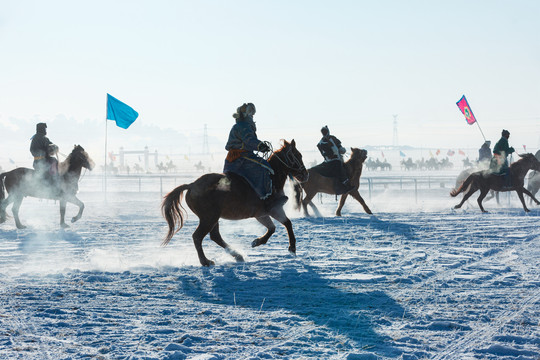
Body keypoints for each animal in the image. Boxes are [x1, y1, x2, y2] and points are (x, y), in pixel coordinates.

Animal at [161, 139, 308, 266]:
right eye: (297, 155)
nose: (305, 175)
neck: (272, 178)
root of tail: (191, 185)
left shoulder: (262, 214)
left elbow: (279, 226)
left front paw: (258, 242)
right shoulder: (273, 209)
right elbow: (282, 225)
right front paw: (291, 248)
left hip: (212, 218)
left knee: (215, 236)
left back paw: (237, 256)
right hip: (209, 218)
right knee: (198, 237)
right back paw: (206, 261)